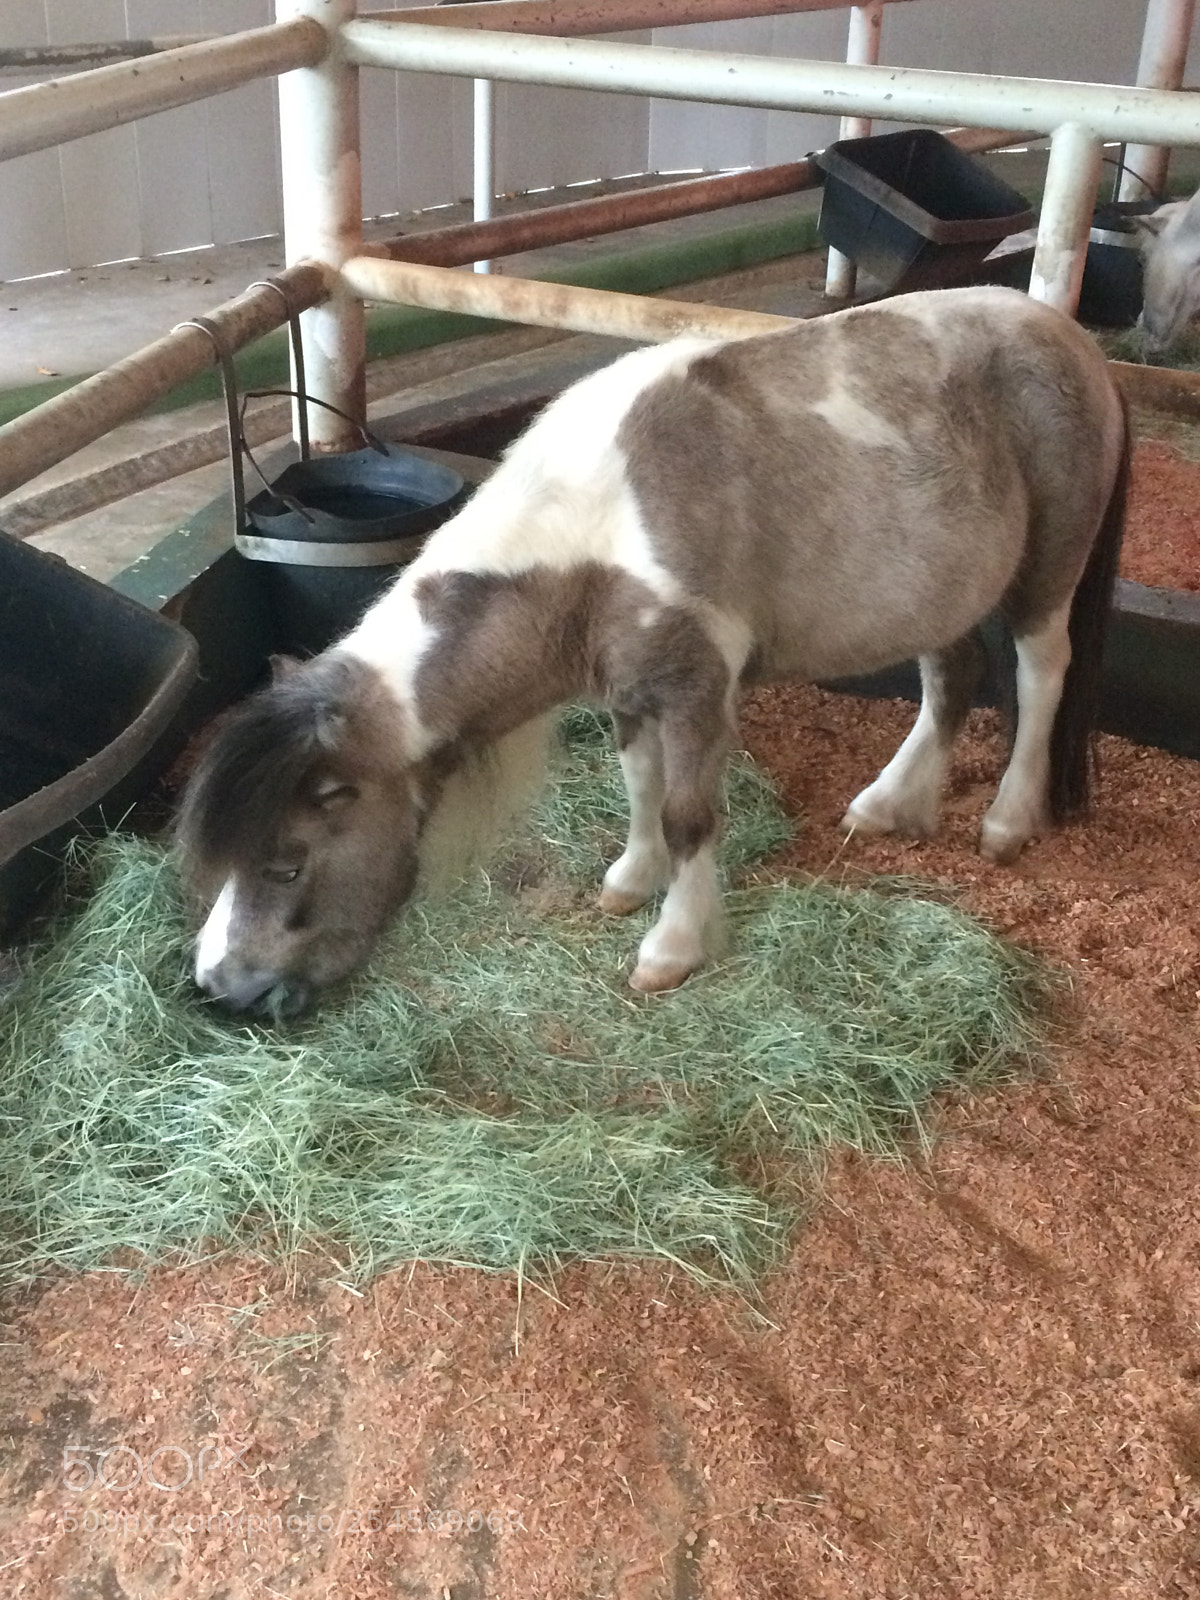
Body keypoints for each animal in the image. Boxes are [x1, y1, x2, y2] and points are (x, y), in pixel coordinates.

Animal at [177, 284, 1129, 1016]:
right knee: (951, 676)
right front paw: (631, 881)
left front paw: (672, 946)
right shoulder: (629, 687)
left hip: (1045, 576)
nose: (218, 986)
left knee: (1041, 673)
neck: (596, 526)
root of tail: (1072, 338)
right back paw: (893, 803)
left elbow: (687, 815)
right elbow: (638, 786)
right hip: (942, 594)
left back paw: (1006, 820)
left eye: (285, 862)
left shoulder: (697, 690)